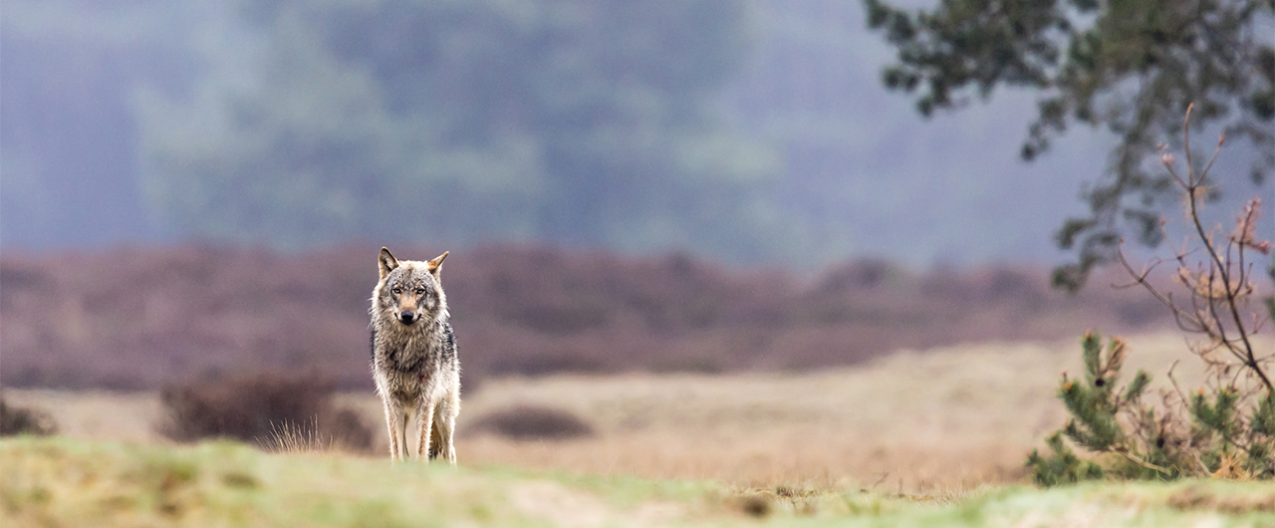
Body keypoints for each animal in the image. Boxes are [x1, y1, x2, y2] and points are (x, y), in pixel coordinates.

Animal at [369, 247, 459, 461]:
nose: (407, 315)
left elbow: (421, 446)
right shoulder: (392, 401)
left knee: (449, 451)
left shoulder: (425, 400)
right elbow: (397, 448)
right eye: (397, 290)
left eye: (420, 291)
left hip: (443, 415)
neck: (406, 350)